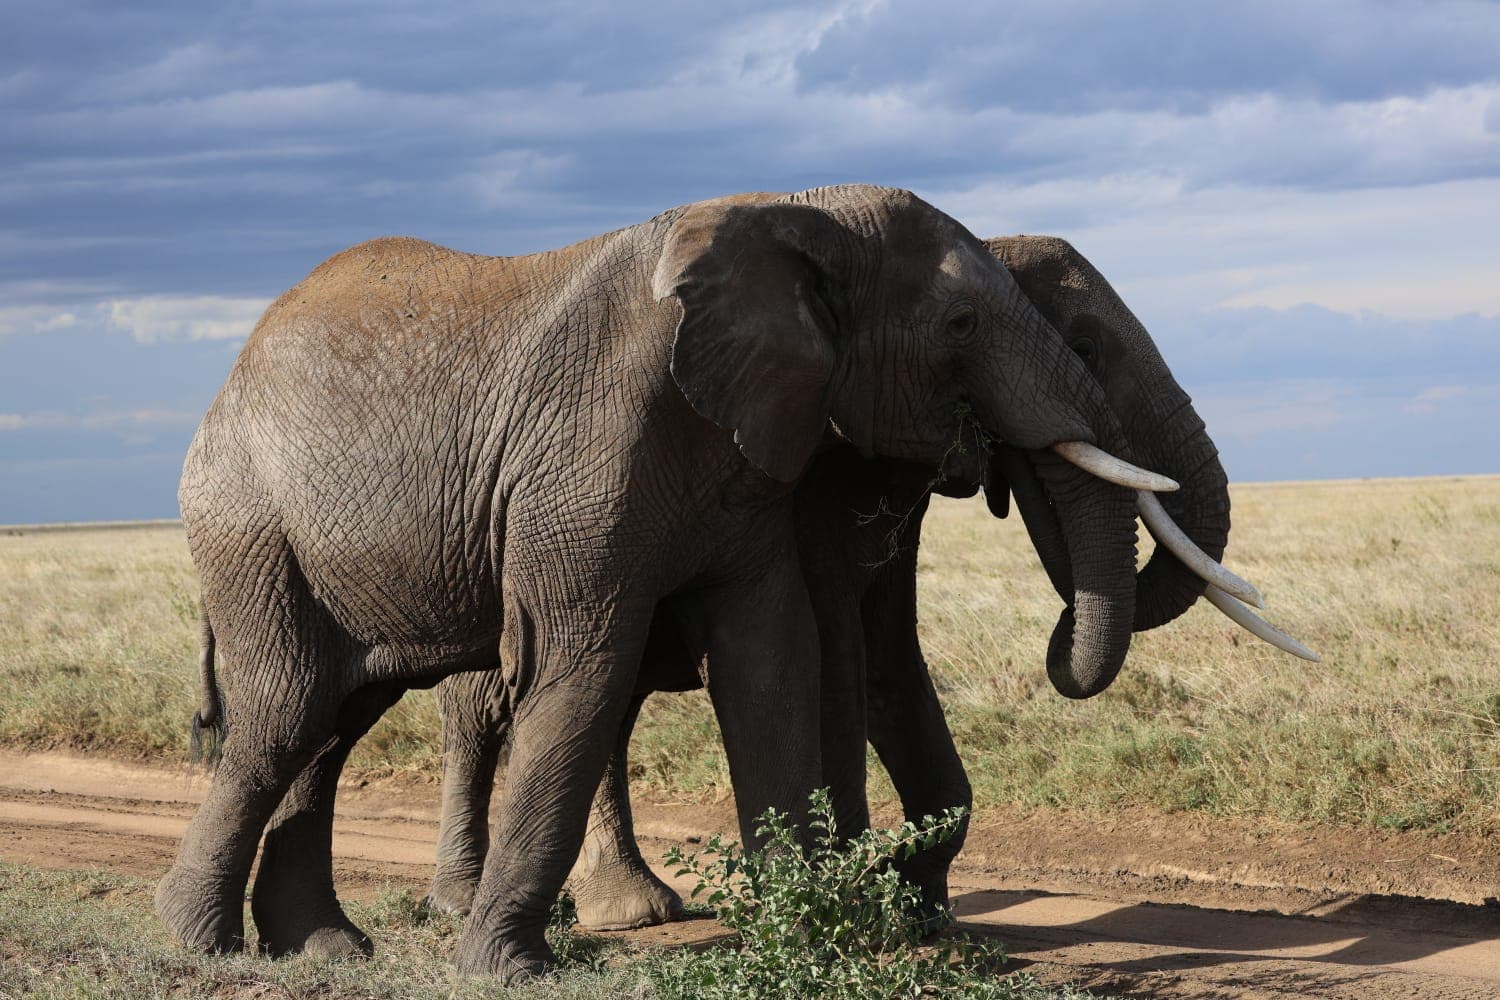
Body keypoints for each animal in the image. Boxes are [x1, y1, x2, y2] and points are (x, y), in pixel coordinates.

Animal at [159, 185, 1174, 982]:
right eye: (961, 325)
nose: (1056, 644)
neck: (796, 213)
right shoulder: (580, 463)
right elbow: (581, 671)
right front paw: (507, 972)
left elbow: (773, 660)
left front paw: (810, 937)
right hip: (249, 527)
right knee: (290, 709)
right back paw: (200, 943)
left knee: (332, 720)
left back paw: (324, 949)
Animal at [420, 234, 1310, 934]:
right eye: (1086, 346)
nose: (1057, 641)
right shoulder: (813, 486)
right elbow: (838, 657)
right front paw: (864, 898)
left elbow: (887, 660)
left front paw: (922, 916)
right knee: (492, 708)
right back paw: (479, 903)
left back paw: (632, 909)